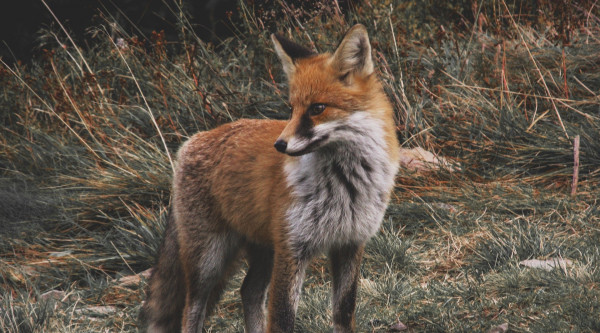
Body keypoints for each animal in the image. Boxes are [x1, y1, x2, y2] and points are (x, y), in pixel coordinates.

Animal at [142, 24, 398, 332]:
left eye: (317, 108)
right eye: (292, 108)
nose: (280, 145)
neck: (344, 184)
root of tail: (192, 141)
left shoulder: (350, 243)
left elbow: (344, 313)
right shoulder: (292, 248)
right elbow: (282, 319)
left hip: (263, 250)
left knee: (249, 291)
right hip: (209, 260)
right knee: (192, 308)